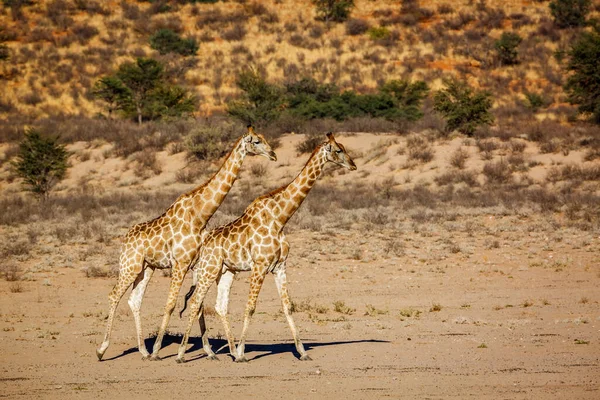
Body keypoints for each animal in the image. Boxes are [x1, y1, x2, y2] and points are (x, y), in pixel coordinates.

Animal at [96, 126, 278, 362]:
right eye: (256, 141)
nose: (273, 154)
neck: (200, 215)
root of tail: (125, 239)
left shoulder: (195, 264)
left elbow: (197, 304)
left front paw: (209, 351)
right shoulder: (180, 263)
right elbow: (171, 304)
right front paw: (159, 350)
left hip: (146, 268)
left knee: (134, 301)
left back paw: (143, 351)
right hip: (130, 265)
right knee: (114, 295)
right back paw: (102, 350)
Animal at [175, 132, 356, 362]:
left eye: (344, 148)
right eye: (338, 150)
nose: (353, 165)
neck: (280, 219)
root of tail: (202, 245)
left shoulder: (280, 266)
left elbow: (288, 307)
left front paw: (303, 352)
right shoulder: (260, 265)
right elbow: (251, 307)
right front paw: (242, 352)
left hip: (225, 271)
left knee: (217, 306)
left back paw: (226, 351)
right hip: (209, 269)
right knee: (195, 303)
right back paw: (182, 354)